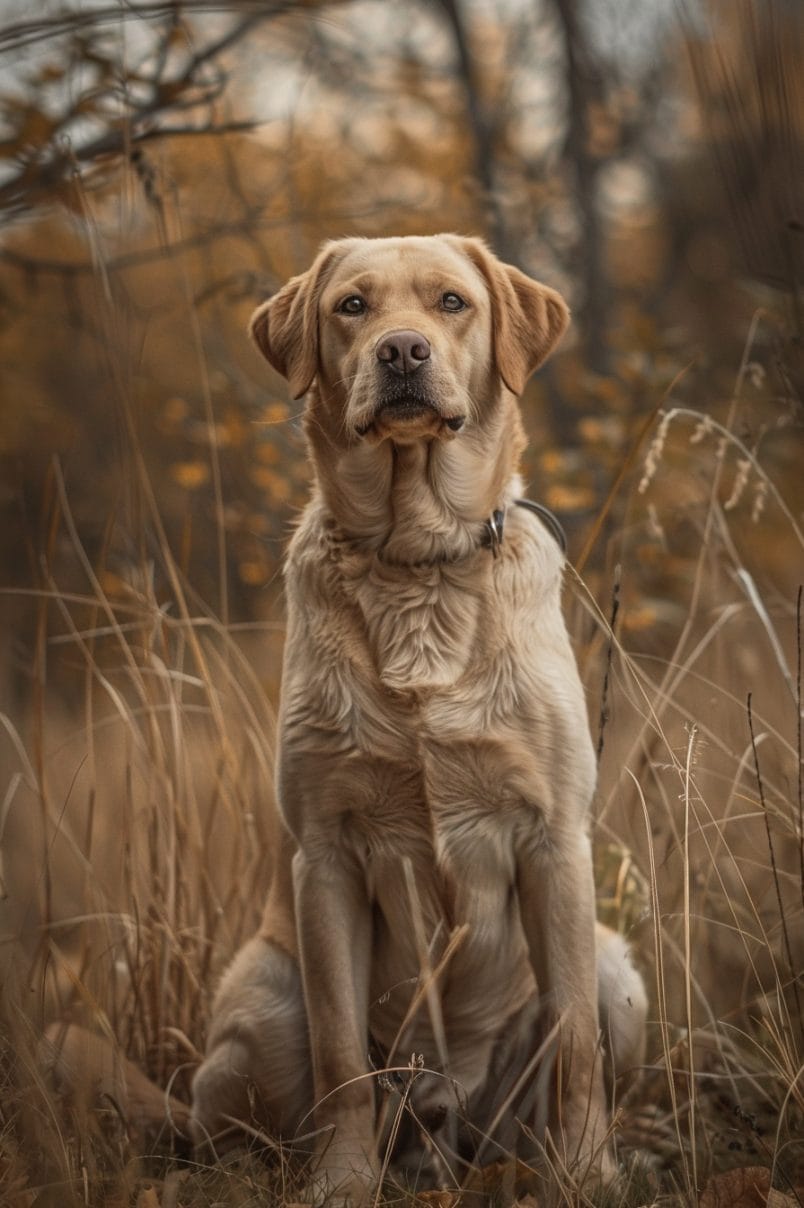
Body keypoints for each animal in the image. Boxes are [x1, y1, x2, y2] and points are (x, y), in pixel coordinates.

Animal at [189, 233, 647, 1198]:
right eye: (352, 307)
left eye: (451, 302)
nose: (402, 352)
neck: (418, 561)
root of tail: (444, 1125)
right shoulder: (326, 856)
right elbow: (340, 1057)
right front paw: (341, 1182)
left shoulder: (555, 840)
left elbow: (574, 1042)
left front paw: (589, 1173)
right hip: (261, 999)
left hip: (619, 972)